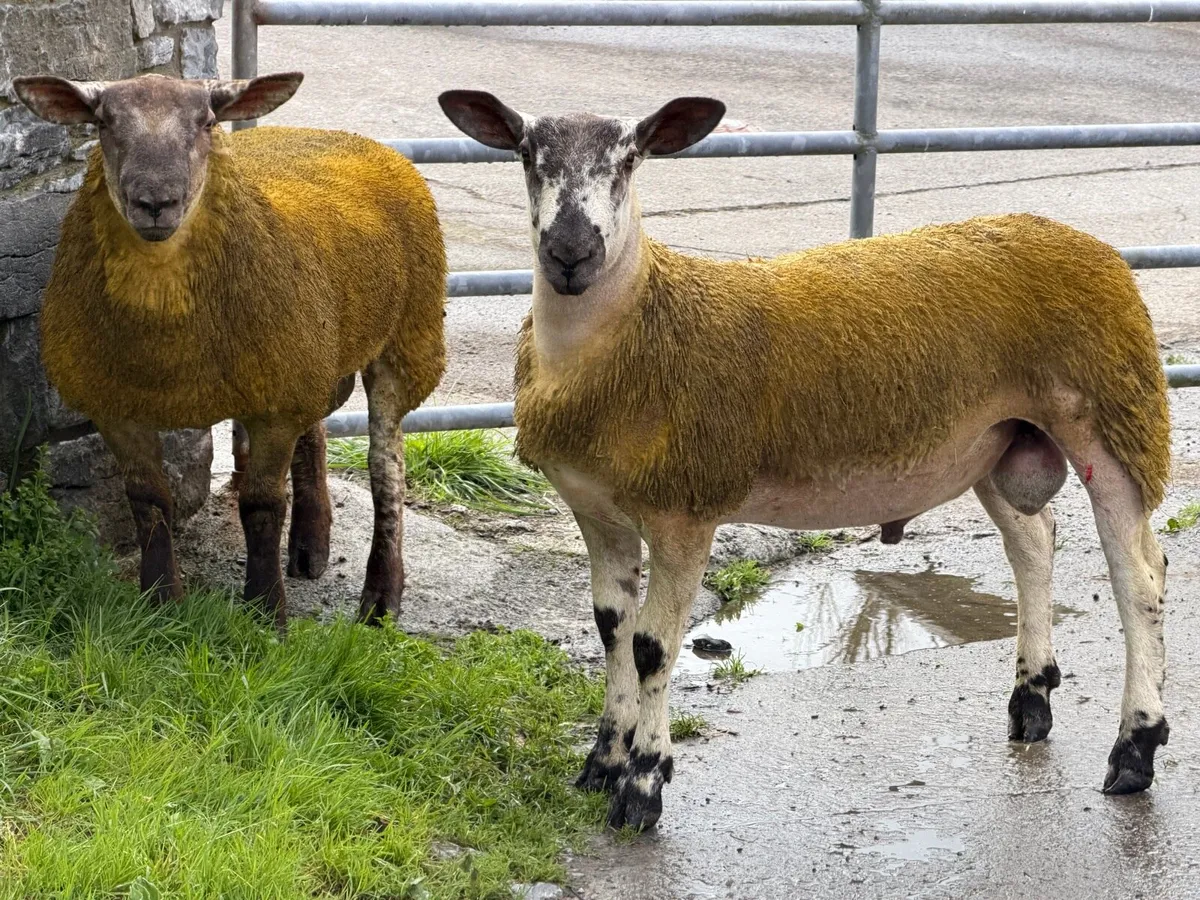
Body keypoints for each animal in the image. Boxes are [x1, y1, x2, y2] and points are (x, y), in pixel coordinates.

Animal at [14, 72, 446, 628]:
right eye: (104, 123)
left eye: (206, 123)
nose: (155, 201)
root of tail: (336, 134)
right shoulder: (116, 404)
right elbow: (148, 502)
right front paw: (161, 605)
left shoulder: (275, 405)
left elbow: (261, 506)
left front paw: (266, 613)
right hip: (310, 352)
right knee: (317, 429)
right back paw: (310, 545)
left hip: (406, 340)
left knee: (386, 466)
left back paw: (380, 601)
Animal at [439, 90, 1172, 830]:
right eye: (525, 155)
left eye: (629, 159)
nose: (571, 252)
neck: (639, 321)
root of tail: (1083, 242)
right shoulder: (598, 512)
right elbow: (613, 633)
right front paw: (601, 765)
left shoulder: (685, 509)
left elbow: (653, 648)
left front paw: (643, 784)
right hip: (994, 441)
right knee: (1034, 544)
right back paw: (1032, 700)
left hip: (1113, 415)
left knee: (1139, 577)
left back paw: (1135, 749)